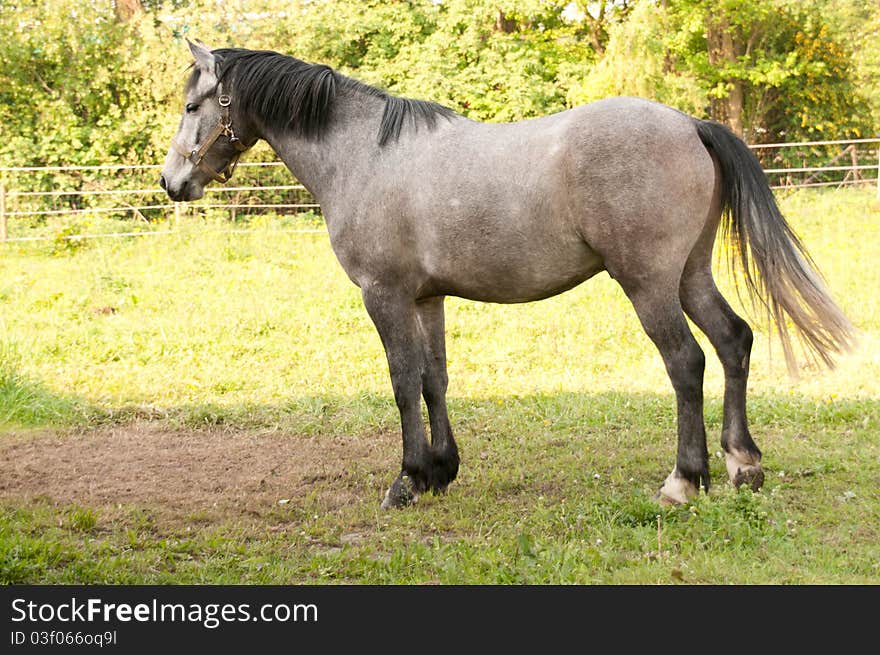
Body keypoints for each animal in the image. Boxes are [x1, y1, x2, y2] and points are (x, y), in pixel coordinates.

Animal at [158, 41, 852, 510]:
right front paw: (441, 470)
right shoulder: (427, 298)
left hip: (649, 283)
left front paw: (406, 480)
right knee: (734, 341)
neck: (363, 154)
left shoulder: (384, 296)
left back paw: (684, 480)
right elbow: (434, 380)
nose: (171, 182)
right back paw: (743, 465)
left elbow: (402, 382)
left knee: (686, 362)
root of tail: (689, 124)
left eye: (193, 104)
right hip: (689, 275)